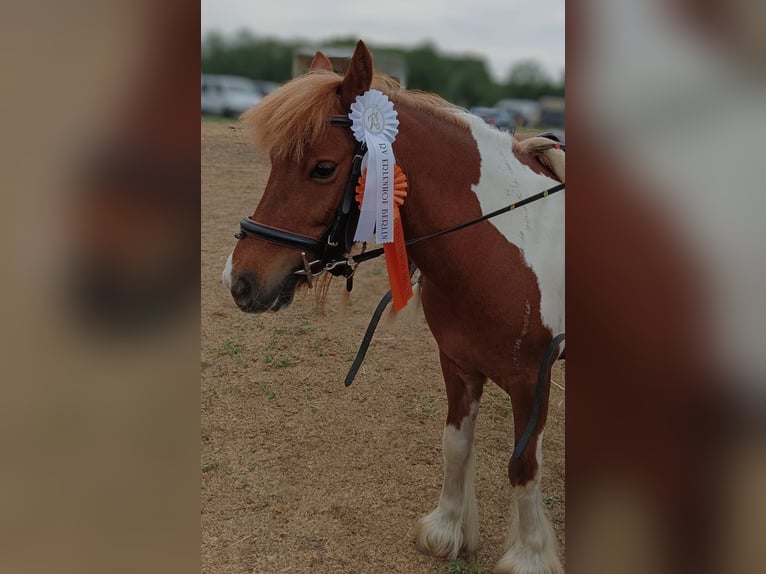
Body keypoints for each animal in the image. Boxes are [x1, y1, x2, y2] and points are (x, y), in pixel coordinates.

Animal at [222, 41, 564, 574]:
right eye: (275, 162)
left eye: (323, 168)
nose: (241, 280)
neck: (505, 246)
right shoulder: (458, 364)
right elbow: (456, 445)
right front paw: (446, 530)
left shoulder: (533, 380)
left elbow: (524, 466)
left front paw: (528, 556)